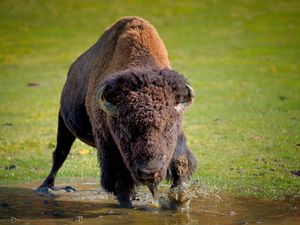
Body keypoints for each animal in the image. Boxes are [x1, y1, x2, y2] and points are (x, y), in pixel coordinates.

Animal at [37, 16, 197, 208]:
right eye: (125, 130)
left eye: (170, 127)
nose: (149, 171)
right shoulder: (108, 147)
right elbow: (120, 182)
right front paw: (127, 205)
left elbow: (181, 162)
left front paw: (180, 199)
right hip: (64, 124)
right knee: (60, 154)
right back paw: (45, 187)